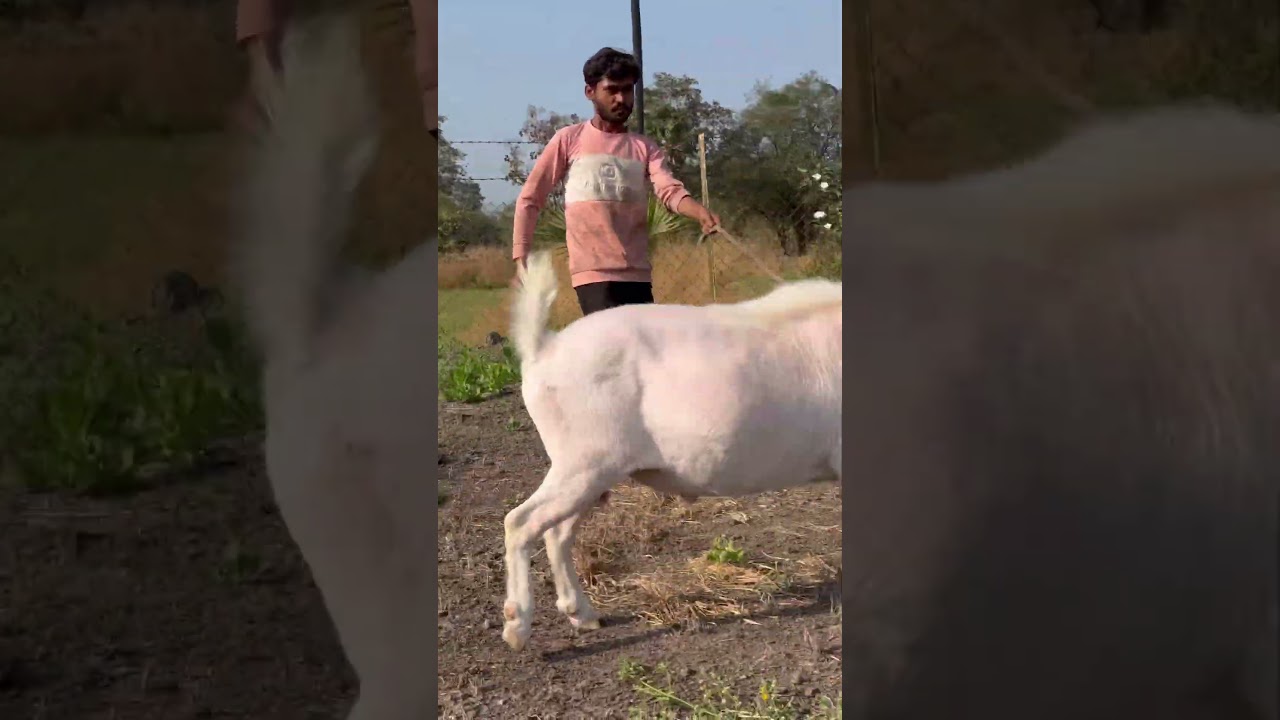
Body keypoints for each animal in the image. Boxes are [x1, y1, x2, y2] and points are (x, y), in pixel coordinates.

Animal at [501, 251, 842, 650]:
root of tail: (544, 347)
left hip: (590, 471)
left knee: (557, 532)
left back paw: (581, 613)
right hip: (582, 462)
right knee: (520, 523)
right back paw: (517, 625)